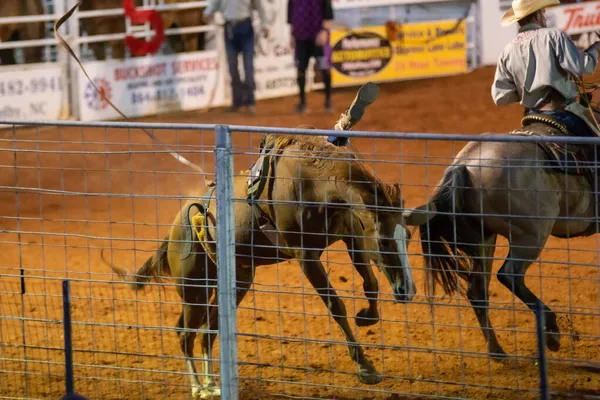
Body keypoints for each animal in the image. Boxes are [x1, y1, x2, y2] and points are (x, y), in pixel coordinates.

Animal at [105, 131, 420, 396]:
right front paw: (366, 368)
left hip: (236, 282)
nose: (408, 291)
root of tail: (175, 228)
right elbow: (336, 306)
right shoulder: (305, 255)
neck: (311, 184)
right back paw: (199, 387)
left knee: (208, 331)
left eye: (408, 236)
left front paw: (367, 316)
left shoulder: (351, 235)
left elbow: (371, 283)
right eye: (384, 242)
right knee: (185, 332)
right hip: (194, 288)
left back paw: (213, 384)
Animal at [404, 115, 600, 360]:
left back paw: (496, 350)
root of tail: (464, 164)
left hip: (484, 240)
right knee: (509, 275)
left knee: (478, 291)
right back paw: (552, 332)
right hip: (531, 235)